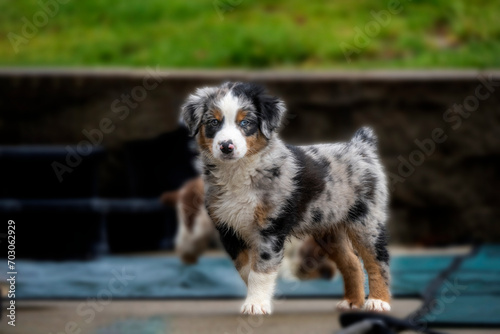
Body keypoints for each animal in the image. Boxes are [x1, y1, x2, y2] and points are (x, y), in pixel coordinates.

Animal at [181, 82, 390, 314]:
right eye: (213, 122)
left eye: (245, 122)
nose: (226, 146)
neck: (239, 171)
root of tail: (360, 146)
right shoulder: (228, 229)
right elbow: (247, 269)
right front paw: (256, 299)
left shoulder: (270, 228)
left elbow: (260, 269)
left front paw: (256, 305)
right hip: (329, 228)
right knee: (352, 262)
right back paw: (352, 301)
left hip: (366, 220)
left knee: (377, 260)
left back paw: (378, 301)